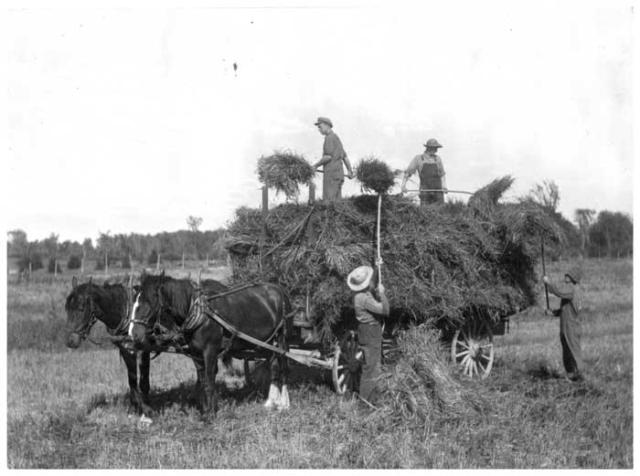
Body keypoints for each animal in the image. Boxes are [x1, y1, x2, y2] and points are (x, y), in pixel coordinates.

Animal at [129, 272, 292, 416]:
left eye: (149, 302)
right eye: (134, 303)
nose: (133, 334)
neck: (199, 312)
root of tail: (279, 289)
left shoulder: (210, 351)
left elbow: (208, 381)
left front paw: (210, 414)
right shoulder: (196, 353)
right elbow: (203, 381)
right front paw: (206, 409)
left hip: (282, 338)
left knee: (283, 365)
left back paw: (284, 403)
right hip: (268, 342)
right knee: (273, 364)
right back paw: (271, 402)